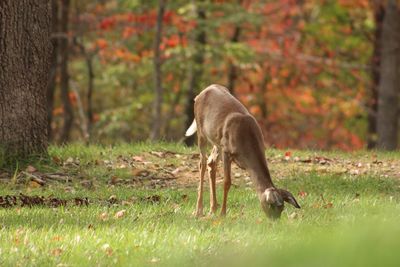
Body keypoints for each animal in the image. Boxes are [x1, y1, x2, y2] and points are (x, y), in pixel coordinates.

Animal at [185, 85, 300, 221]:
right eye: (271, 206)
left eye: (282, 208)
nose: (275, 221)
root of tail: (201, 93)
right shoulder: (226, 150)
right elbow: (227, 182)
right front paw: (223, 214)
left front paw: (219, 212)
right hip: (201, 132)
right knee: (202, 163)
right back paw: (199, 211)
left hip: (216, 141)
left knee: (211, 162)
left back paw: (212, 209)